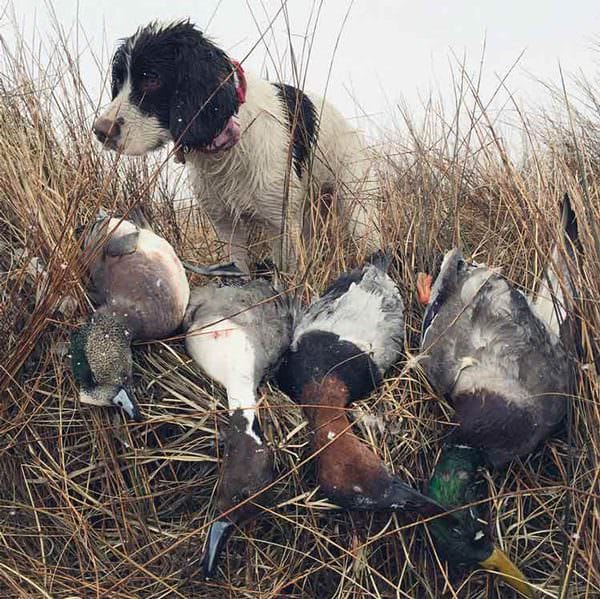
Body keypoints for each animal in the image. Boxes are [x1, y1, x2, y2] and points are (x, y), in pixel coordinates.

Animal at [94, 19, 380, 272]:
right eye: (118, 81)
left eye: (152, 78)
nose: (100, 131)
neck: (229, 146)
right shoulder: (227, 226)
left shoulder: (281, 222)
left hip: (358, 208)